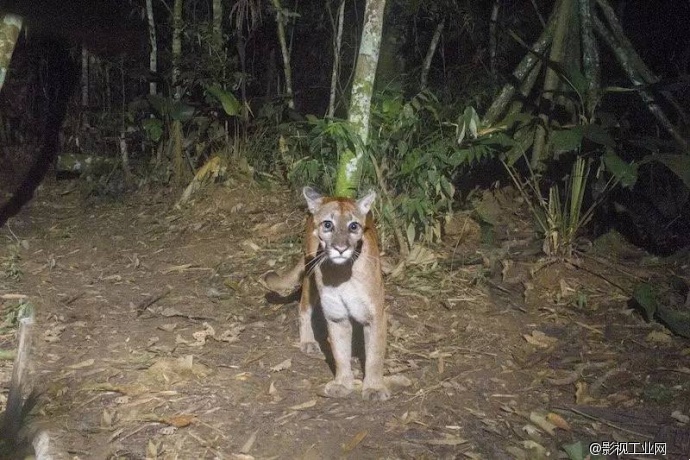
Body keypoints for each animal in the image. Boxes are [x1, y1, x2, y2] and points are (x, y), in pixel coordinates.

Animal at [264, 186, 390, 398]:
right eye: (328, 224)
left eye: (353, 226)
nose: (341, 248)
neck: (342, 273)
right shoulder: (336, 315)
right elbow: (340, 353)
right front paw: (342, 383)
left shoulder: (374, 315)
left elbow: (375, 354)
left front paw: (373, 387)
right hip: (310, 276)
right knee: (303, 306)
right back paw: (308, 342)